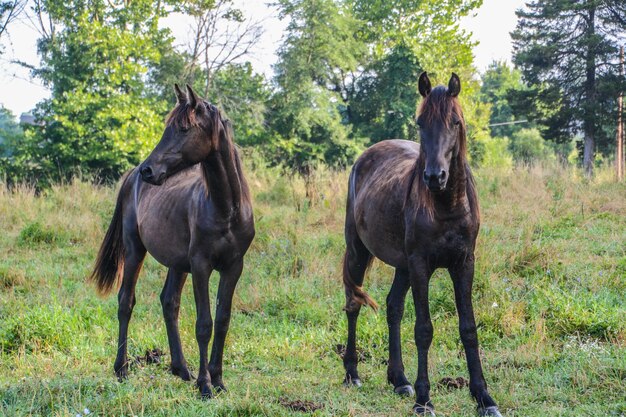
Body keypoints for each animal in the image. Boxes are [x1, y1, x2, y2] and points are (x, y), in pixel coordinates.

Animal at [89, 83, 254, 396]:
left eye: (184, 128)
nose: (148, 170)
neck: (225, 209)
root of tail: (131, 177)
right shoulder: (201, 266)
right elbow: (204, 324)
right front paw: (205, 386)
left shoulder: (233, 267)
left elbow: (222, 320)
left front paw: (218, 379)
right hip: (135, 250)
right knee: (125, 301)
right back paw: (122, 369)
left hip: (177, 264)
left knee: (169, 302)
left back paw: (181, 368)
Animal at [338, 73, 500, 414]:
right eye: (420, 122)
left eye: (455, 121)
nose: (435, 176)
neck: (446, 206)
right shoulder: (421, 265)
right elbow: (424, 329)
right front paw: (425, 400)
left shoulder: (464, 262)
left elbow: (468, 328)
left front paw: (484, 397)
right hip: (360, 252)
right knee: (353, 303)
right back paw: (352, 373)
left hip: (402, 266)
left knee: (393, 307)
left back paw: (399, 379)